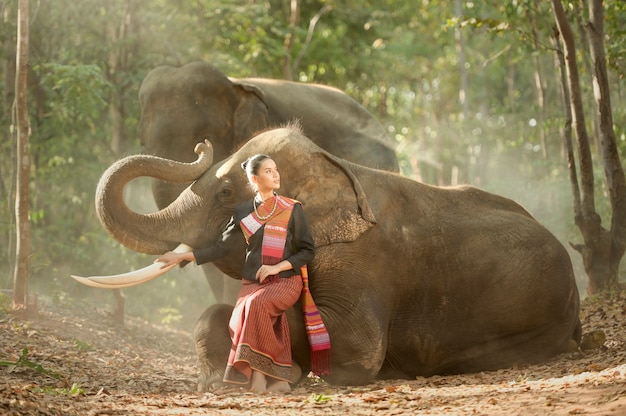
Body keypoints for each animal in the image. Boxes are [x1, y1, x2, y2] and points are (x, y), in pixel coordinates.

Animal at [91, 125, 580, 388]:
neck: (332, 163)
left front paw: (279, 374)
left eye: (226, 192)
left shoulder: (363, 259)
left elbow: (356, 346)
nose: (201, 146)